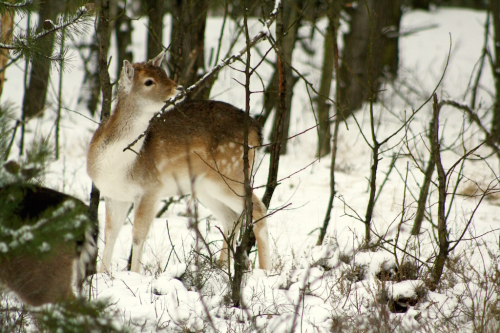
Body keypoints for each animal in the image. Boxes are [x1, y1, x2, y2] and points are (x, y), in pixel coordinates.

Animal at [88, 52, 272, 272]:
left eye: (165, 74)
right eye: (149, 81)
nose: (179, 89)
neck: (118, 166)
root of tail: (257, 130)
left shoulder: (151, 187)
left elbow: (138, 236)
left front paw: (134, 274)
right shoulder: (115, 195)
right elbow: (110, 235)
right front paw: (102, 275)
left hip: (230, 172)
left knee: (259, 208)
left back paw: (265, 270)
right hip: (207, 186)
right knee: (231, 217)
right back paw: (220, 268)